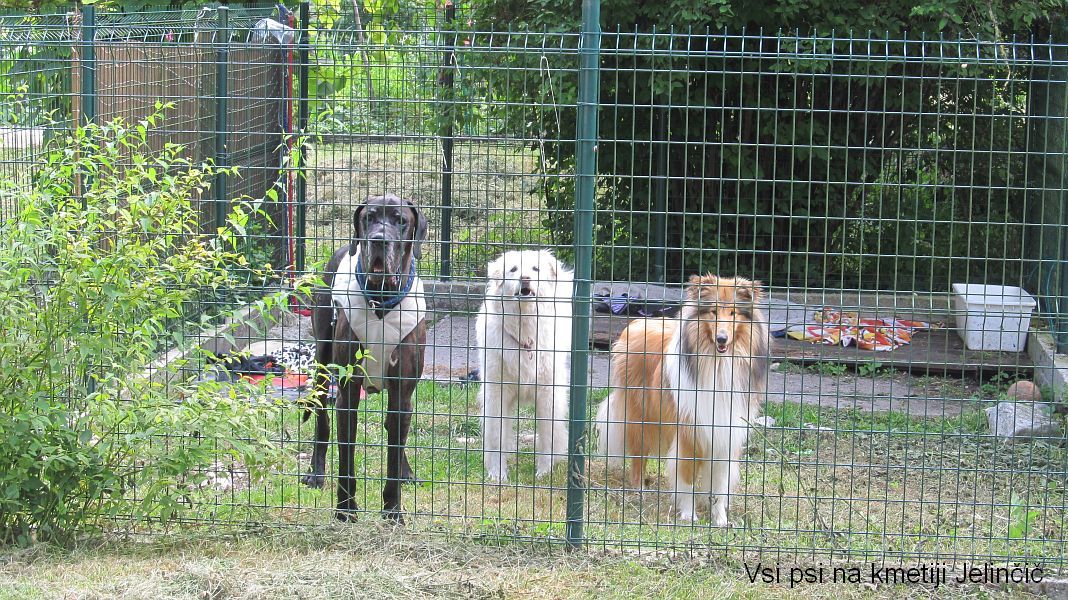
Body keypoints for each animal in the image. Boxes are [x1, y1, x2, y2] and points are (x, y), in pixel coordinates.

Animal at [301, 193, 428, 523]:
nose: (378, 240)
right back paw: (315, 472)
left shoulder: (402, 390)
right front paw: (346, 509)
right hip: (323, 359)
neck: (381, 302)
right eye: (368, 218)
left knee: (396, 432)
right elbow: (346, 454)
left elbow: (394, 451)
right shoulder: (348, 392)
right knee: (322, 418)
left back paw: (407, 471)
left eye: (400, 220)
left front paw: (393, 511)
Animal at [476, 249, 573, 483]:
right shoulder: (497, 394)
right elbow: (497, 437)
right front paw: (497, 473)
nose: (526, 278)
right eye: (513, 269)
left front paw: (544, 472)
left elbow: (548, 435)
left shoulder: (549, 395)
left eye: (535, 269)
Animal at [594, 275, 769, 525]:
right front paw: (688, 515)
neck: (717, 364)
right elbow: (686, 477)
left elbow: (720, 484)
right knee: (638, 456)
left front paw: (720, 519)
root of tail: (637, 323)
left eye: (733, 312)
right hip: (640, 418)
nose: (722, 338)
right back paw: (639, 490)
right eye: (713, 311)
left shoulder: (725, 434)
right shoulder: (689, 432)